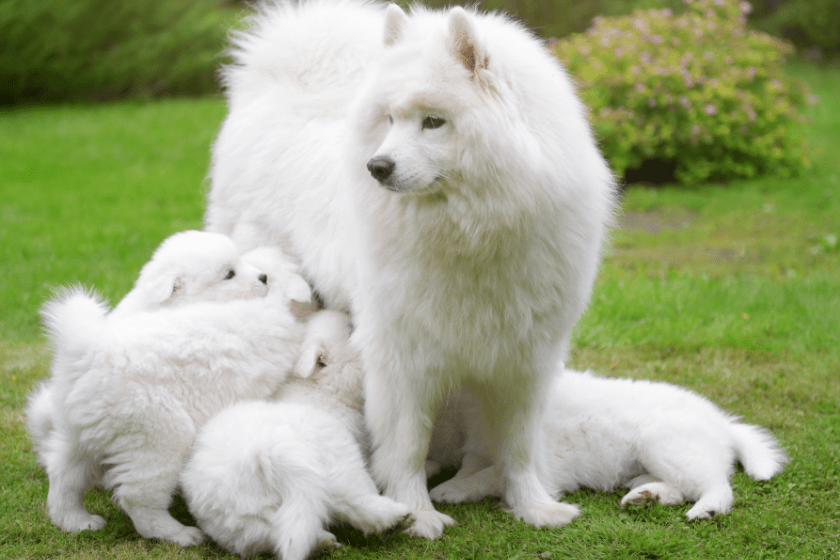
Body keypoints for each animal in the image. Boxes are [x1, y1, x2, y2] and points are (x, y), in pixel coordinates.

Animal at [28, 237, 316, 548]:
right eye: (229, 273)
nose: (262, 277)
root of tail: (87, 353)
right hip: (159, 436)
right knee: (137, 498)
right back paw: (180, 534)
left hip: (80, 435)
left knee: (63, 474)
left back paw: (77, 521)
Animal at [180, 310, 414, 560]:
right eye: (350, 329)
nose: (350, 314)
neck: (324, 390)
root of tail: (256, 455)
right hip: (333, 453)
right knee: (349, 496)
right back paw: (395, 517)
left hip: (249, 524)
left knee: (283, 529)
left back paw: (325, 541)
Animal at [204, 0, 616, 540]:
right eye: (390, 119)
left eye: (433, 122)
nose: (376, 167)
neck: (471, 233)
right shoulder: (404, 358)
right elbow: (407, 445)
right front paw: (417, 513)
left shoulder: (525, 359)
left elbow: (518, 445)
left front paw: (533, 507)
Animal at [430, 368, 792, 520]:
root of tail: (724, 424)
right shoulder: (477, 452)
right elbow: (472, 471)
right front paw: (449, 483)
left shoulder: (538, 467)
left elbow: (489, 476)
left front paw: (447, 491)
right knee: (680, 489)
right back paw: (645, 496)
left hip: (665, 445)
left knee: (717, 486)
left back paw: (706, 509)